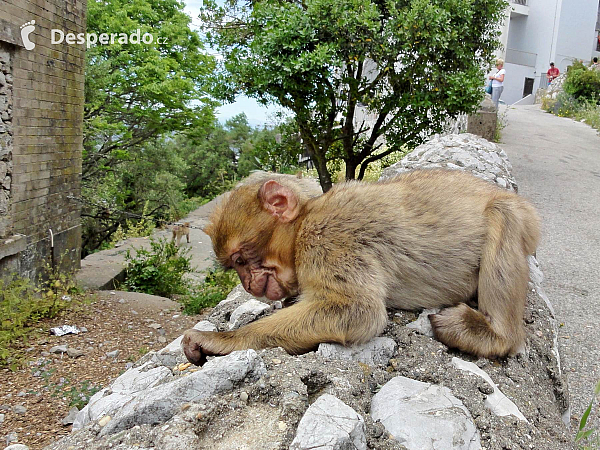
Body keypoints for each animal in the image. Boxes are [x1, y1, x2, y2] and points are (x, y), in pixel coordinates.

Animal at [182, 170, 540, 366]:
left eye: (241, 260)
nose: (246, 284)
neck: (302, 226)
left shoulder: (326, 241)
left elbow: (358, 310)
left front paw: (221, 339)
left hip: (518, 217)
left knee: (503, 216)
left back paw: (494, 334)